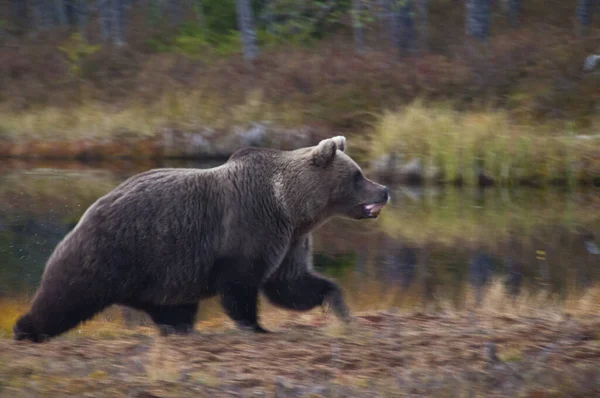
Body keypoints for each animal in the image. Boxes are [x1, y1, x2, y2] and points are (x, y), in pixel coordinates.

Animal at [14, 136, 392, 342]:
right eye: (357, 175)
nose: (385, 189)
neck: (290, 207)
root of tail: (88, 211)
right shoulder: (251, 228)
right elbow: (242, 285)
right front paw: (256, 327)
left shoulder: (291, 240)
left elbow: (291, 284)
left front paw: (340, 308)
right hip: (114, 252)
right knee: (66, 296)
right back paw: (26, 328)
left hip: (164, 275)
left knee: (172, 307)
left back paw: (179, 328)